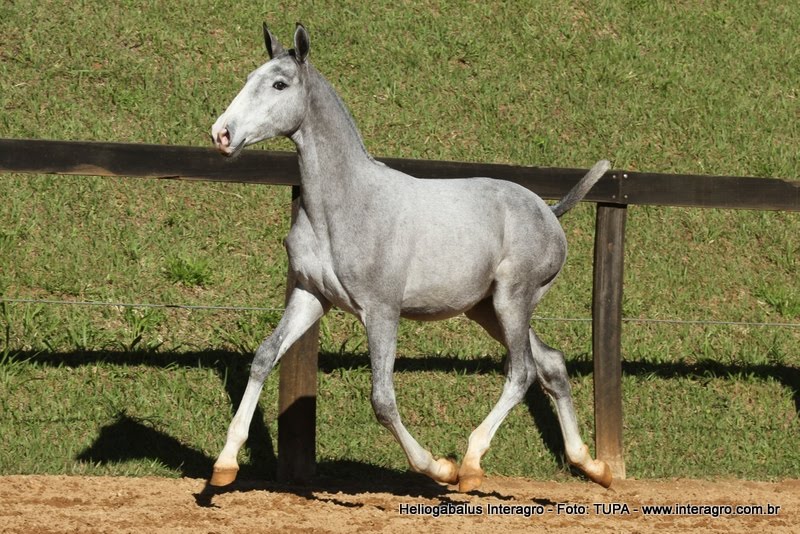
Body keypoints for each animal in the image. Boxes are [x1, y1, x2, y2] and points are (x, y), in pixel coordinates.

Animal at [209, 23, 612, 492]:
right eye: (249, 77)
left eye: (279, 84)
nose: (222, 134)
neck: (345, 206)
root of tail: (549, 212)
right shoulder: (311, 297)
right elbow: (264, 357)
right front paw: (224, 465)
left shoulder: (381, 310)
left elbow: (382, 399)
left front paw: (439, 467)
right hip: (486, 309)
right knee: (550, 364)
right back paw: (593, 466)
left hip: (513, 300)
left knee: (523, 371)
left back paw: (470, 465)